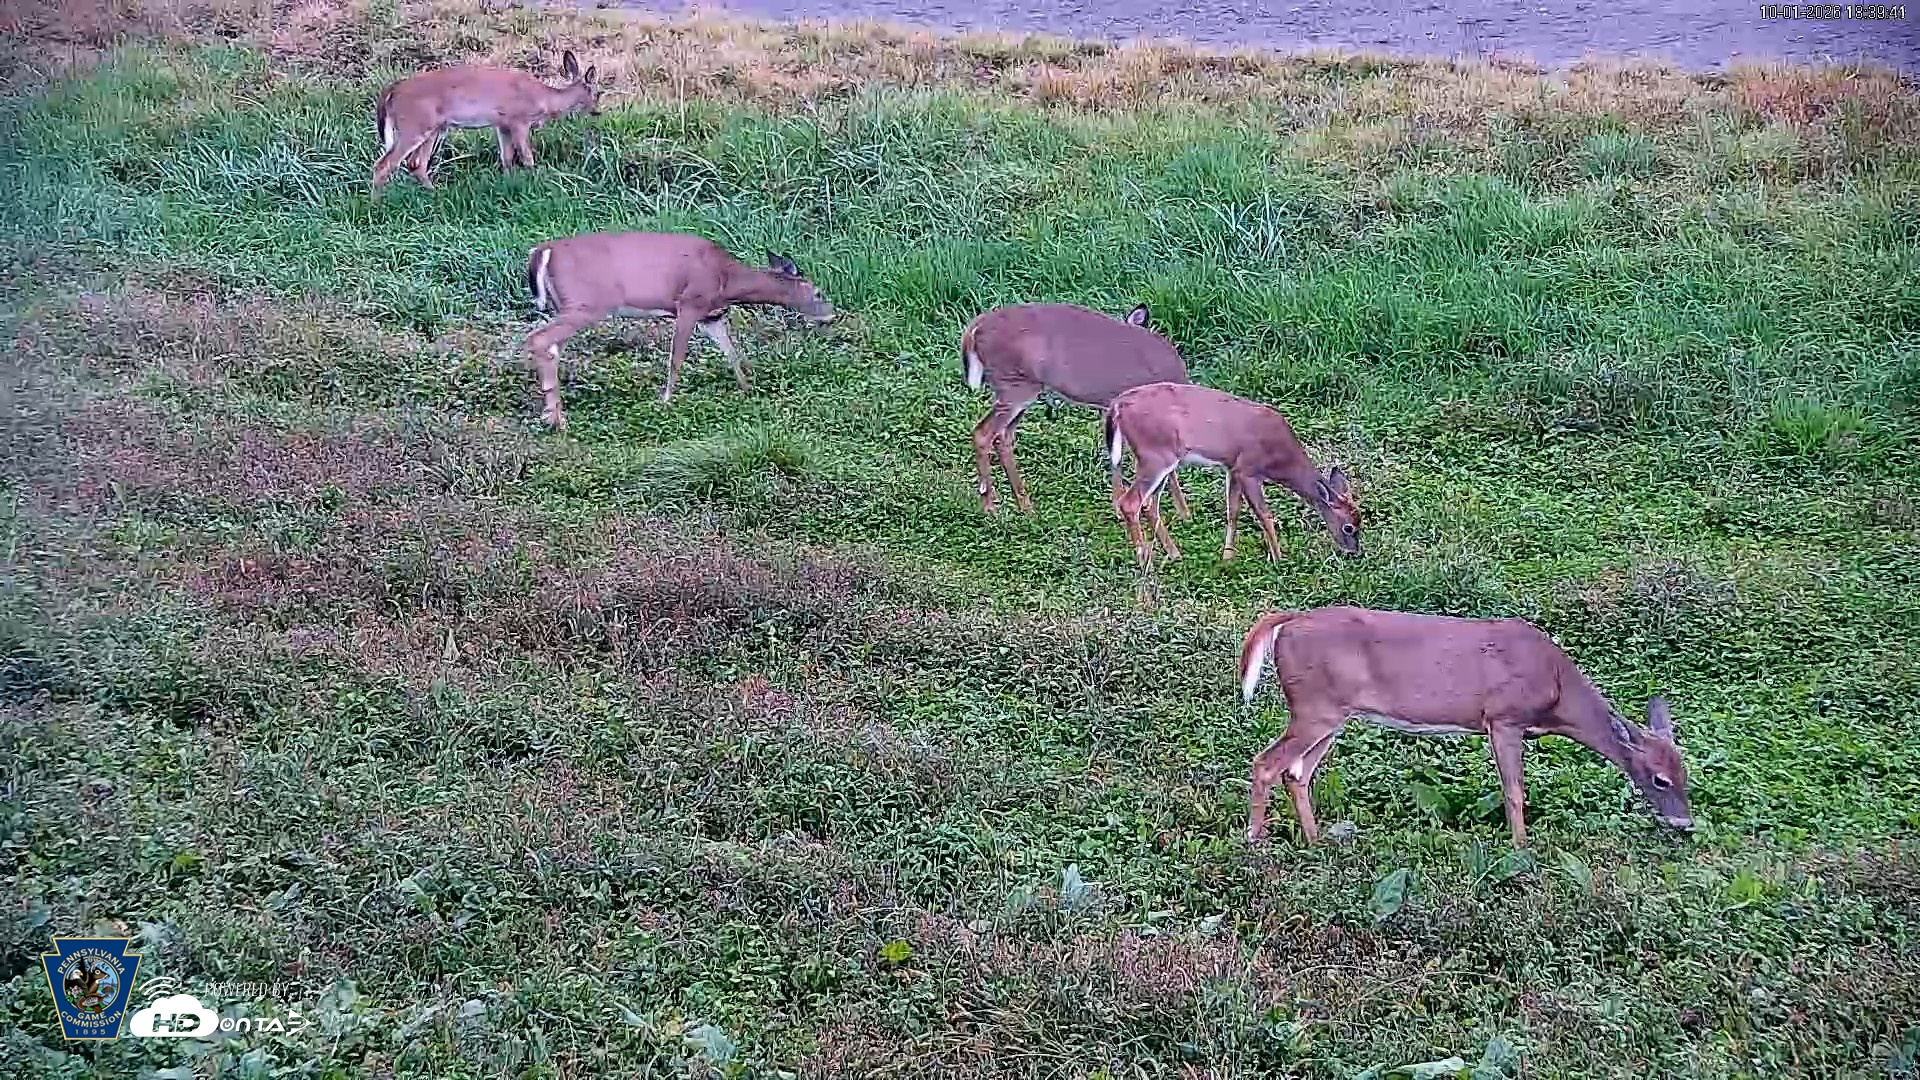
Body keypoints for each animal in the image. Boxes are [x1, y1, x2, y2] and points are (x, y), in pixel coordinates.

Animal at [372, 50, 598, 195]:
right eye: (597, 92)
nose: (596, 111)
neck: (544, 98)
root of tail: (392, 91)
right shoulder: (519, 120)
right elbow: (527, 157)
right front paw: (536, 183)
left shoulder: (502, 124)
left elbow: (506, 158)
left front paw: (510, 184)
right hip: (414, 125)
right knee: (384, 164)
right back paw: (378, 206)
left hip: (433, 128)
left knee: (415, 163)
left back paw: (434, 194)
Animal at [523, 231, 836, 428]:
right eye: (818, 292)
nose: (832, 316)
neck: (726, 280)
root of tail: (542, 251)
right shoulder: (688, 304)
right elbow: (677, 358)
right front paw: (666, 401)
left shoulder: (711, 315)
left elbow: (731, 351)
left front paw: (748, 388)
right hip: (586, 304)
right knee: (538, 338)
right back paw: (557, 421)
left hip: (567, 307)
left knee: (551, 347)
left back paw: (551, 414)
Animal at [960, 302, 1192, 524]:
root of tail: (974, 329)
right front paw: (1182, 512)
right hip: (1015, 386)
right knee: (983, 433)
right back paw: (990, 508)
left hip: (1020, 388)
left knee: (1003, 437)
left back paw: (1025, 507)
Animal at [1104, 382, 1360, 568]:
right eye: (1349, 527)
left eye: (1361, 520)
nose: (1354, 552)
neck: (1280, 457)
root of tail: (1117, 405)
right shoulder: (1248, 469)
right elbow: (1264, 514)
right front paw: (1279, 559)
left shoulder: (1233, 469)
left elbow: (1233, 512)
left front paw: (1227, 556)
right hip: (1156, 455)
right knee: (1130, 502)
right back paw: (1145, 560)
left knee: (1149, 505)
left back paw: (1175, 555)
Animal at [1237, 606, 1695, 847]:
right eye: (1660, 779)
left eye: (1685, 774)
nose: (1684, 823)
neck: (1556, 688)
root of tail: (1286, 623)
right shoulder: (1504, 718)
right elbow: (1514, 791)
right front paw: (1521, 848)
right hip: (1314, 709)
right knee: (1266, 763)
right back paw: (1254, 842)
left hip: (1330, 715)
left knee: (1296, 773)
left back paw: (1317, 841)